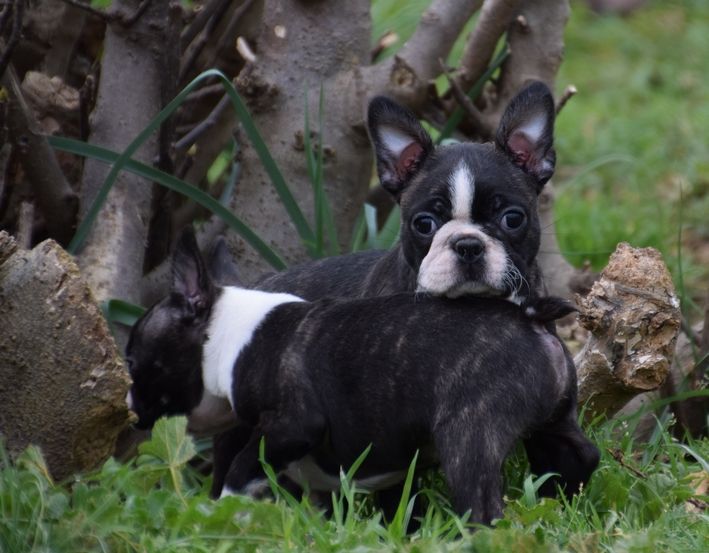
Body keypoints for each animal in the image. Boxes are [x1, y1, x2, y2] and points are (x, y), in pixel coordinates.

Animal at [126, 229, 598, 525]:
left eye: (132, 360)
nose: (128, 404)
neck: (231, 330)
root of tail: (528, 317)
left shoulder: (293, 423)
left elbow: (244, 463)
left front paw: (227, 505)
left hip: (468, 434)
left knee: (481, 504)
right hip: (556, 422)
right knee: (579, 457)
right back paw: (566, 502)